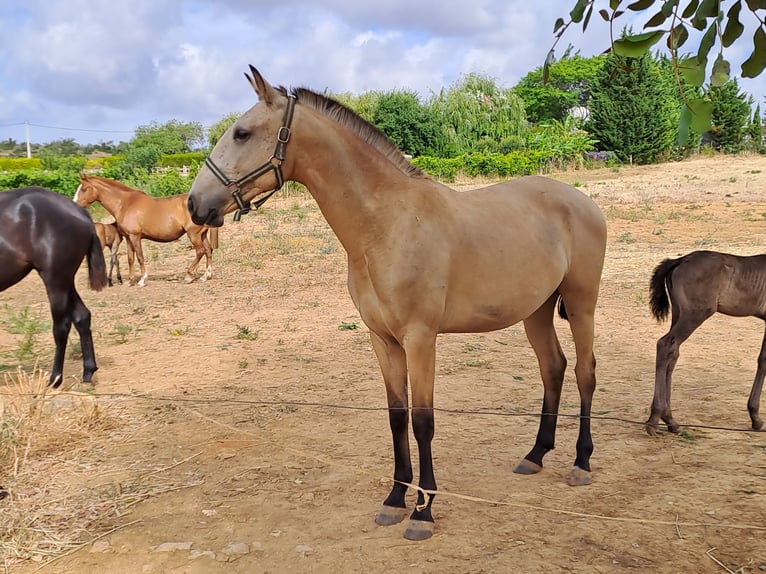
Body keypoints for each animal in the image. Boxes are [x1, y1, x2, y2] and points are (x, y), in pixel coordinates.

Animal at [0, 187, 108, 390]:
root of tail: (80, 212)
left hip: (55, 280)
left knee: (61, 327)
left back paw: (55, 379)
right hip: (66, 281)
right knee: (82, 316)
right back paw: (88, 372)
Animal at [74, 173, 220, 286]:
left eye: (84, 189)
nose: (74, 204)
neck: (125, 204)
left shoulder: (135, 236)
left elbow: (140, 257)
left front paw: (142, 280)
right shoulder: (128, 238)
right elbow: (130, 258)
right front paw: (130, 280)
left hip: (193, 234)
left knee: (200, 251)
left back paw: (188, 276)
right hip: (202, 234)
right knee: (208, 251)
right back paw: (205, 276)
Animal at [184, 65, 608, 544]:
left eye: (242, 133)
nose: (195, 204)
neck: (386, 224)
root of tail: (583, 201)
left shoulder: (420, 339)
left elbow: (423, 420)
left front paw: (423, 511)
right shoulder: (382, 340)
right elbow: (396, 417)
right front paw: (394, 500)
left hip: (581, 304)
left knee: (585, 371)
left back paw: (581, 462)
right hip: (536, 311)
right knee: (552, 368)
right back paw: (535, 454)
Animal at [648, 252, 766, 436]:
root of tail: (681, 259)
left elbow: (762, 360)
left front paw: (755, 417)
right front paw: (755, 417)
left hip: (678, 312)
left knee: (673, 353)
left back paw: (670, 420)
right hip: (696, 314)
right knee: (665, 345)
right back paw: (654, 419)